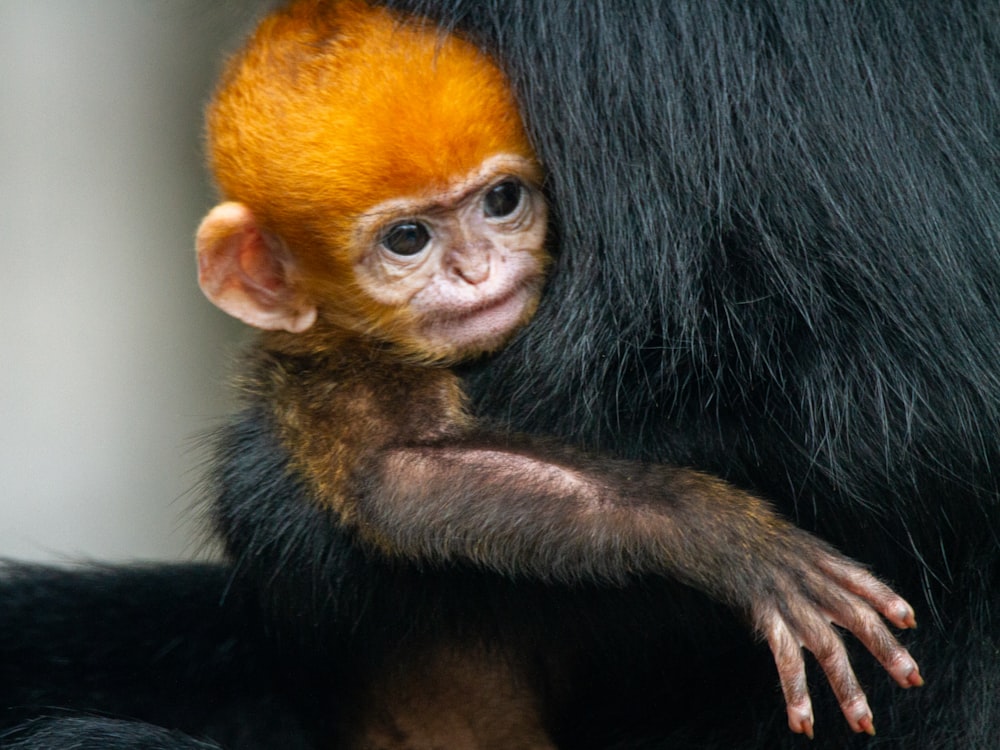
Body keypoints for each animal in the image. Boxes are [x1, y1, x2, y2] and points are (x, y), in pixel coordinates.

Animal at [0, 1, 996, 750]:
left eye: (502, 201)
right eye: (408, 239)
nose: (480, 271)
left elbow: (902, 419)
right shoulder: (347, 373)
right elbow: (397, 481)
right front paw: (724, 537)